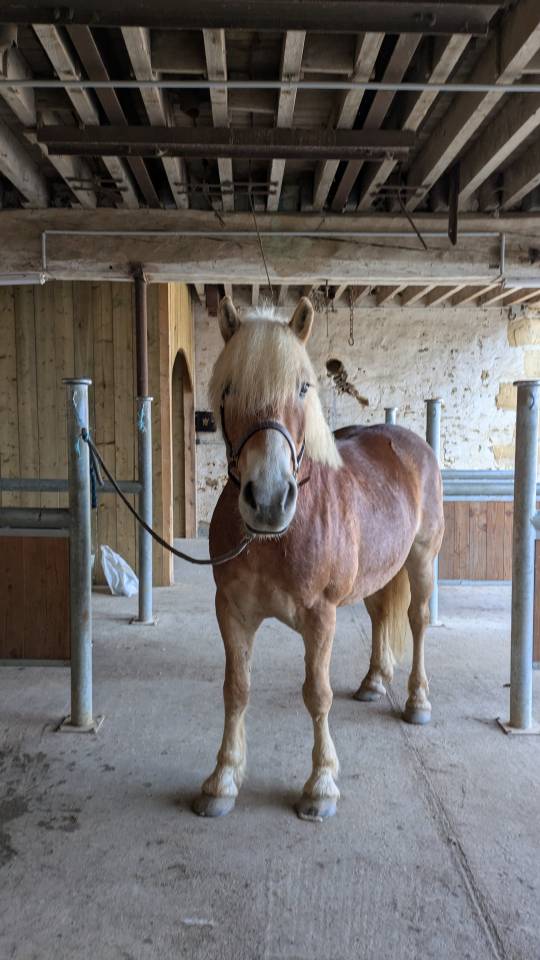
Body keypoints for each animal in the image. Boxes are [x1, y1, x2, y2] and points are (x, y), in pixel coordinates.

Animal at [193, 296, 444, 822]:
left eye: (303, 387)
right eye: (229, 388)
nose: (269, 500)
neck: (273, 540)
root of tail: (409, 443)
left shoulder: (320, 616)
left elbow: (317, 694)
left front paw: (321, 784)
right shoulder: (231, 612)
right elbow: (236, 688)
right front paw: (223, 779)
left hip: (421, 559)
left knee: (416, 620)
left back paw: (417, 701)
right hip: (377, 573)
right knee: (380, 615)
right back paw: (374, 681)